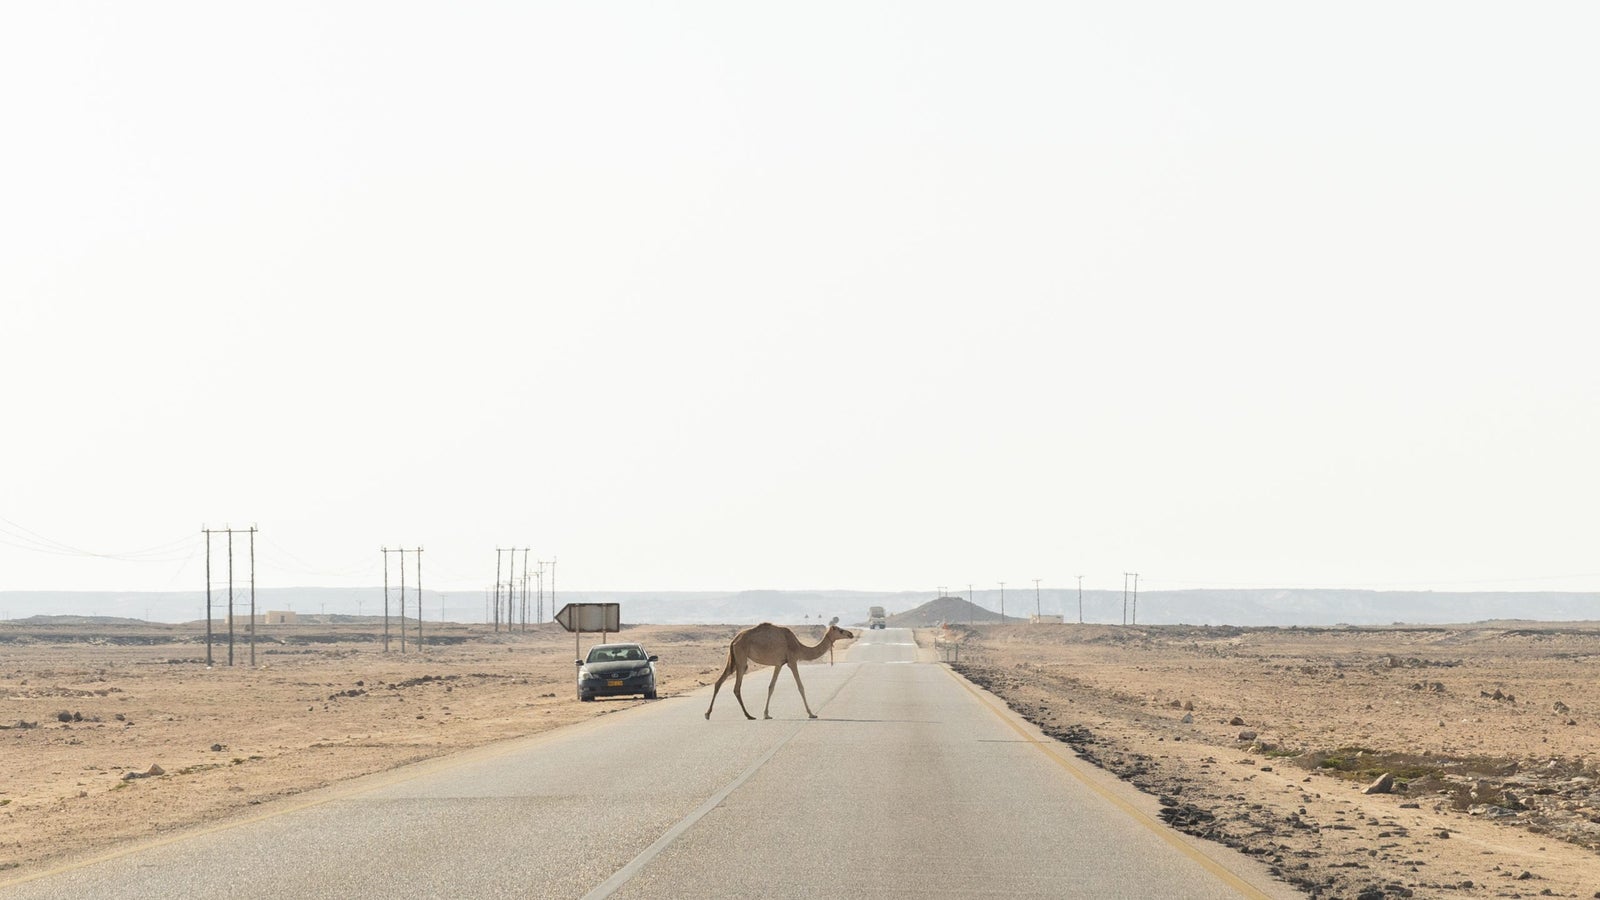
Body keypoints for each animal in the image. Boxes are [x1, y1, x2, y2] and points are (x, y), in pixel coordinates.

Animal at [704, 621, 855, 720]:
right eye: (840, 630)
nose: (851, 633)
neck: (799, 646)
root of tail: (734, 639)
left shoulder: (779, 664)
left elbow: (771, 686)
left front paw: (766, 714)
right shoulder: (792, 661)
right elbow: (800, 686)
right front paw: (811, 713)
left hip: (734, 659)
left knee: (719, 682)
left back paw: (708, 714)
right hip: (741, 658)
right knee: (736, 687)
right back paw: (748, 715)